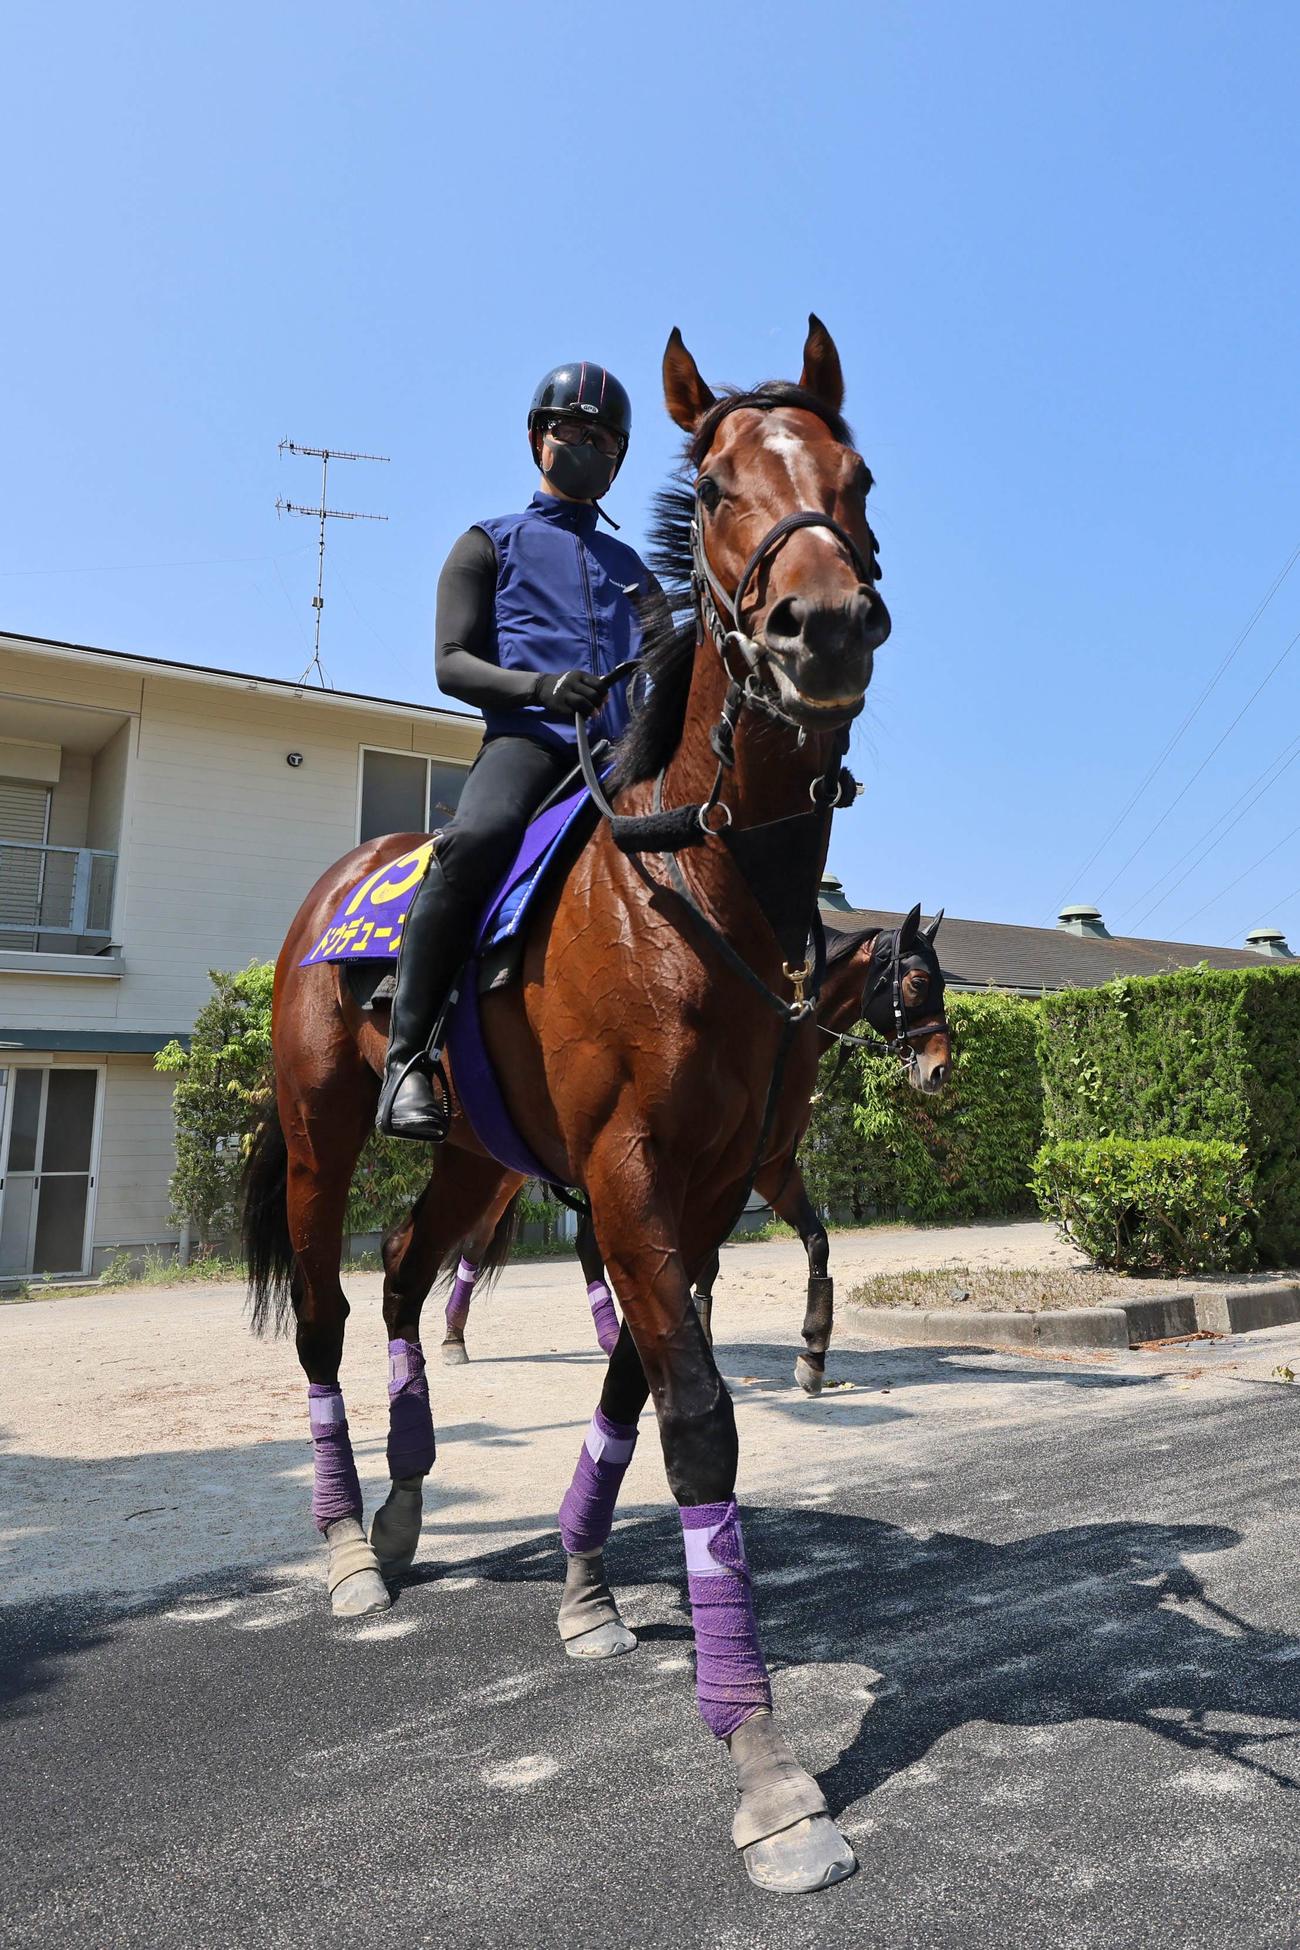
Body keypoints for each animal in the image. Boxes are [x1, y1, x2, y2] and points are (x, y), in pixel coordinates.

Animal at [438, 909, 949, 1388]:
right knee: (484, 1237)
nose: (940, 1069)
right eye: (918, 982)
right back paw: (454, 1339)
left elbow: (814, 1241)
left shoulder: (771, 1168)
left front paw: (813, 1355)